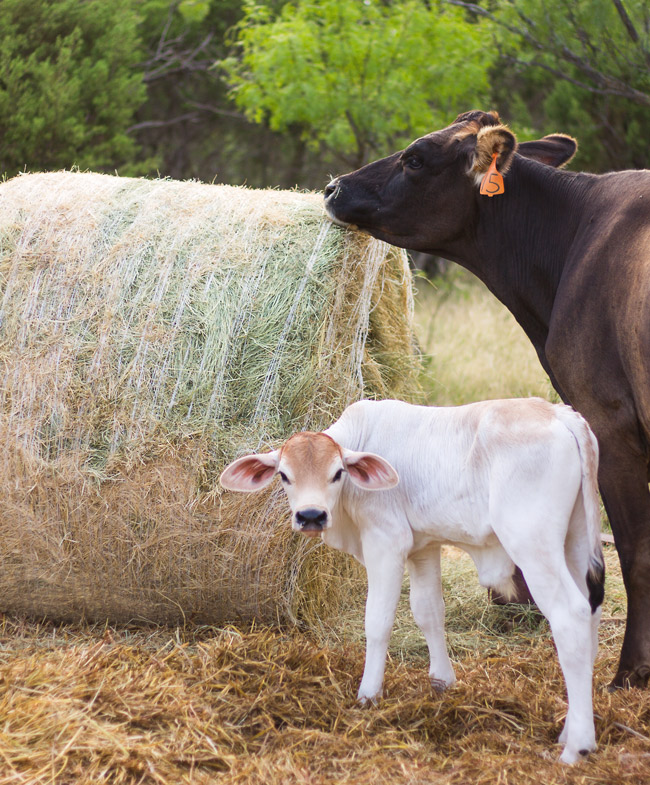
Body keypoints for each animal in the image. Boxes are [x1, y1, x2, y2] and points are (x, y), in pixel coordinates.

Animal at [219, 398, 604, 760]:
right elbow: (429, 612)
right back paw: (569, 731)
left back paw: (577, 747)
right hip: (574, 542)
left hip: (532, 542)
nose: (311, 515)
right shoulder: (424, 546)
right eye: (284, 475)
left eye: (338, 473)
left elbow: (378, 621)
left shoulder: (386, 541)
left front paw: (368, 695)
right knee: (589, 614)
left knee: (569, 616)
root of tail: (557, 412)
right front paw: (442, 682)